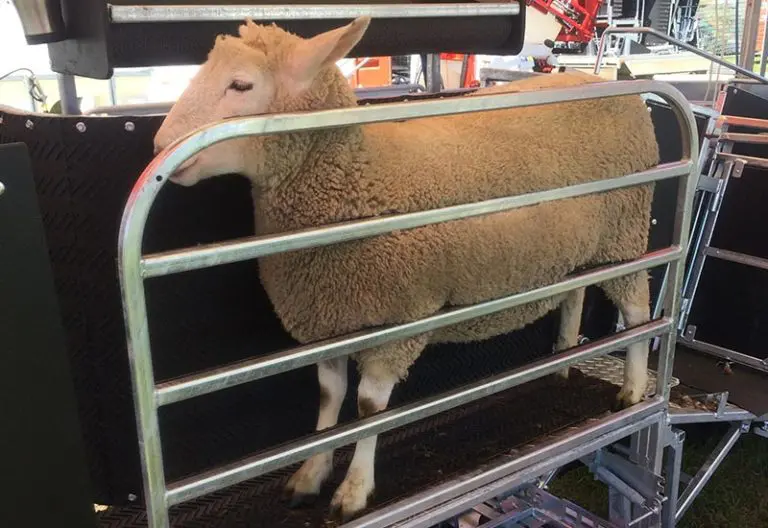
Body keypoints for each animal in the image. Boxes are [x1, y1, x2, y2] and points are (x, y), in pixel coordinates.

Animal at [152, 16, 660, 521]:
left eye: (241, 84)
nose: (160, 146)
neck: (355, 177)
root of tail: (609, 84)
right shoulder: (330, 318)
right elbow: (329, 398)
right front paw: (310, 475)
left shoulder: (401, 319)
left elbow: (369, 408)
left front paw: (354, 491)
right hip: (580, 245)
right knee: (576, 294)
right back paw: (563, 364)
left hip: (626, 235)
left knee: (637, 313)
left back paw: (632, 389)